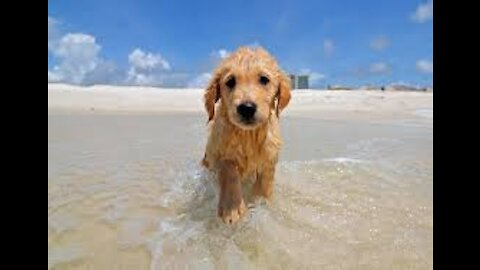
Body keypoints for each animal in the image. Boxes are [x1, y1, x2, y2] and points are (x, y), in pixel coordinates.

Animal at [201, 46, 290, 224]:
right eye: (230, 82)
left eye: (264, 79)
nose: (246, 108)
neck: (248, 135)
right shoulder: (216, 152)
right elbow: (228, 168)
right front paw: (231, 208)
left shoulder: (270, 156)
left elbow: (265, 180)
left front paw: (261, 201)